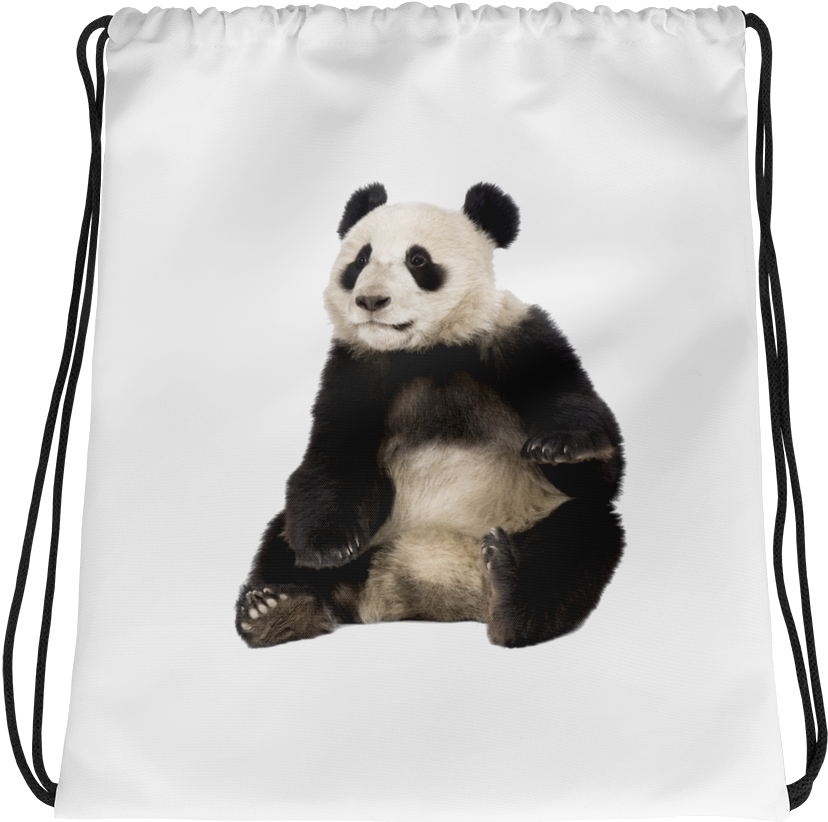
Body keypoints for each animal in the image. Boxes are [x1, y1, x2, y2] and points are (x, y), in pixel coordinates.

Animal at [236, 182, 625, 649]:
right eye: (360, 259)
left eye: (417, 260)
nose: (370, 300)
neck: (428, 350)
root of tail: (426, 593)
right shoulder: (356, 370)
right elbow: (332, 457)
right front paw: (327, 549)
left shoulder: (514, 336)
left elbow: (599, 466)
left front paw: (559, 446)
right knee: (281, 536)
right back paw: (275, 609)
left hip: (541, 522)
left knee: (577, 540)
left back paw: (509, 594)